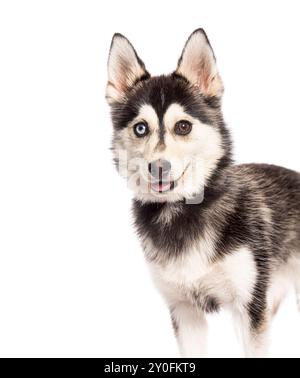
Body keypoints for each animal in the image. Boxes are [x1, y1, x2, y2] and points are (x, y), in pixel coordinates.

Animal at [105, 29, 300, 358]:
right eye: (140, 128)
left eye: (183, 126)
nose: (158, 167)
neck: (181, 211)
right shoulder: (185, 311)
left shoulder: (250, 308)